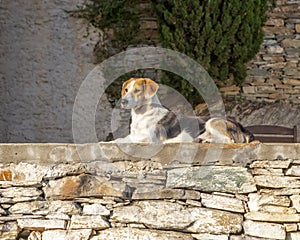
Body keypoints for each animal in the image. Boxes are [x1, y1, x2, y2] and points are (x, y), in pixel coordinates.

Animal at [113, 78, 253, 143]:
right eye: (126, 90)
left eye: (137, 90)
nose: (123, 102)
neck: (142, 114)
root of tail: (242, 127)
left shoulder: (149, 137)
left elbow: (122, 140)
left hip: (212, 121)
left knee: (228, 140)